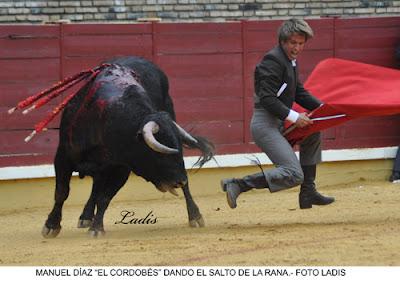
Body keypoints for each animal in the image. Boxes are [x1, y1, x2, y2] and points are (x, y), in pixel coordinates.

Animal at [41, 55, 214, 237]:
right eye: (160, 154)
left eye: (177, 151)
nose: (181, 180)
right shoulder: (63, 156)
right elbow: (62, 192)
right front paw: (51, 225)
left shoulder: (122, 168)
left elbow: (104, 198)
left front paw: (96, 228)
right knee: (94, 186)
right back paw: (86, 217)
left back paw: (195, 216)